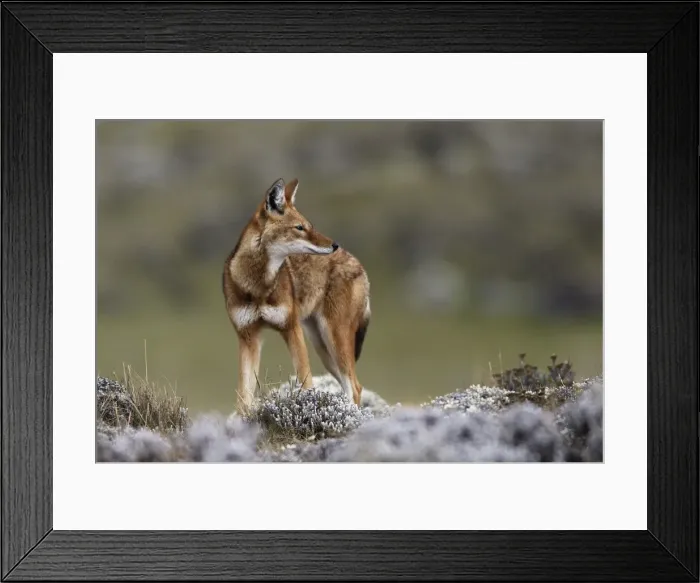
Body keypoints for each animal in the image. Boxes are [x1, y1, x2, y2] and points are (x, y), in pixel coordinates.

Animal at [222, 177, 371, 414]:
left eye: (309, 225)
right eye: (299, 228)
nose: (334, 245)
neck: (259, 286)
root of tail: (358, 263)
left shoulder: (291, 329)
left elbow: (306, 383)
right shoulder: (248, 337)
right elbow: (243, 399)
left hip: (334, 339)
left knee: (355, 387)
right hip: (322, 347)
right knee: (351, 384)